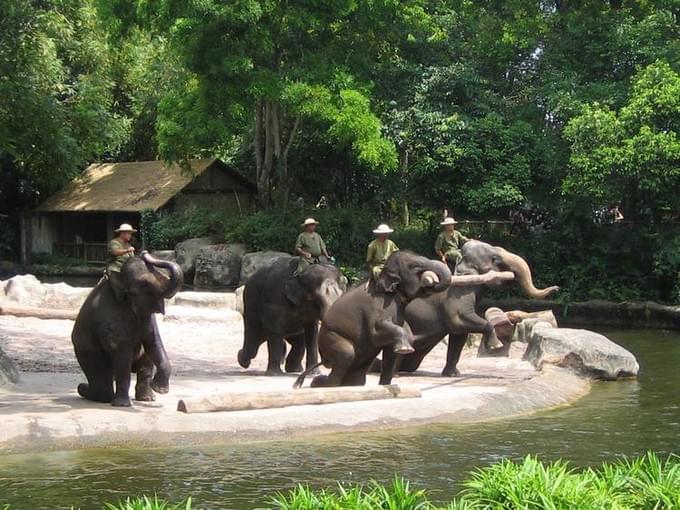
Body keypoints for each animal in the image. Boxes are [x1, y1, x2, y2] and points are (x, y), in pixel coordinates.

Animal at [71, 251, 183, 406]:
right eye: (143, 284)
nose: (144, 253)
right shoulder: (110, 316)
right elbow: (121, 352)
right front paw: (122, 405)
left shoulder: (148, 318)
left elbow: (153, 342)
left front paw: (159, 389)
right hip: (86, 352)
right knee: (102, 381)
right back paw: (85, 389)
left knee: (145, 364)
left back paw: (148, 398)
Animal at [294, 250, 448, 386]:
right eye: (415, 266)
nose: (431, 280)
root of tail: (325, 359)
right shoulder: (378, 308)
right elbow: (376, 333)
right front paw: (405, 349)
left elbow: (391, 354)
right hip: (330, 338)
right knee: (345, 356)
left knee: (356, 378)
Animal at [398, 241, 556, 376]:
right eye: (495, 258)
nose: (556, 288)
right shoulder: (458, 297)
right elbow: (459, 321)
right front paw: (496, 345)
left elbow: (459, 336)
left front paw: (453, 374)